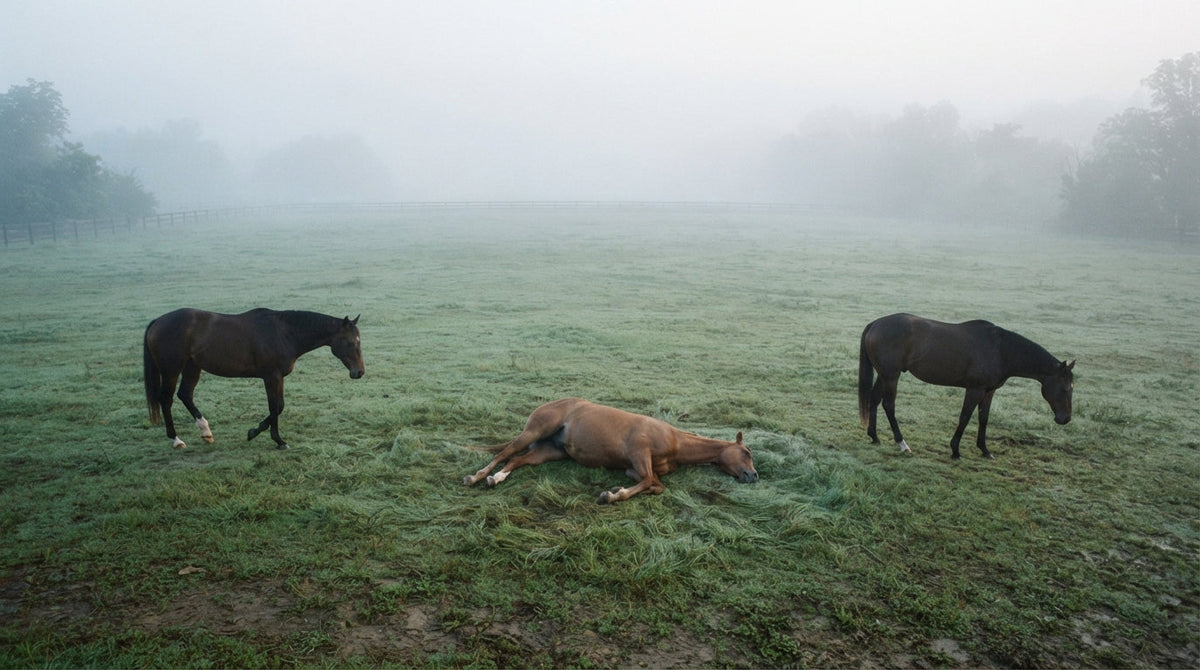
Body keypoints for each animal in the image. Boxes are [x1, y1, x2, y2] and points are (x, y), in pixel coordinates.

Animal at [143, 308, 364, 450]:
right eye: (350, 342)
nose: (359, 372)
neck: (284, 333)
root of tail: (157, 322)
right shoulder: (271, 376)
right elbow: (275, 407)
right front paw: (277, 440)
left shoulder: (277, 377)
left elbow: (278, 407)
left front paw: (255, 432)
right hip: (171, 370)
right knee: (166, 400)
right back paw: (176, 439)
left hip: (192, 367)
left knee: (185, 395)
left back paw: (205, 432)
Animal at [462, 398, 758, 503]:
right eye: (747, 453)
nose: (753, 476)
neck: (675, 441)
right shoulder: (639, 453)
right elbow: (650, 481)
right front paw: (612, 495)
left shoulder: (633, 468)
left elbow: (655, 485)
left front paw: (618, 489)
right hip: (533, 432)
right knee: (505, 453)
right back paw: (477, 477)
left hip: (548, 452)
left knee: (518, 460)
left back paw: (497, 478)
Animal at [858, 313, 1074, 459]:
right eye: (1065, 388)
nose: (1065, 419)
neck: (1000, 350)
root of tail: (875, 324)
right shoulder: (974, 389)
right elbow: (965, 417)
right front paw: (955, 450)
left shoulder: (989, 391)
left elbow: (983, 418)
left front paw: (985, 449)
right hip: (891, 376)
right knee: (889, 405)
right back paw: (902, 443)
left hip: (884, 375)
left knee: (874, 400)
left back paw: (874, 437)